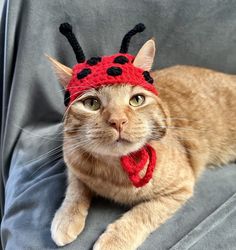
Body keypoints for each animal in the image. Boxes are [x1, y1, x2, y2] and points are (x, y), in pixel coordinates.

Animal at [47, 39, 236, 250]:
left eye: (136, 100)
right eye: (91, 103)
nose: (118, 121)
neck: (114, 172)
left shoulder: (180, 188)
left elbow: (143, 212)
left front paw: (115, 239)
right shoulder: (73, 164)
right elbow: (75, 190)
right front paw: (66, 218)